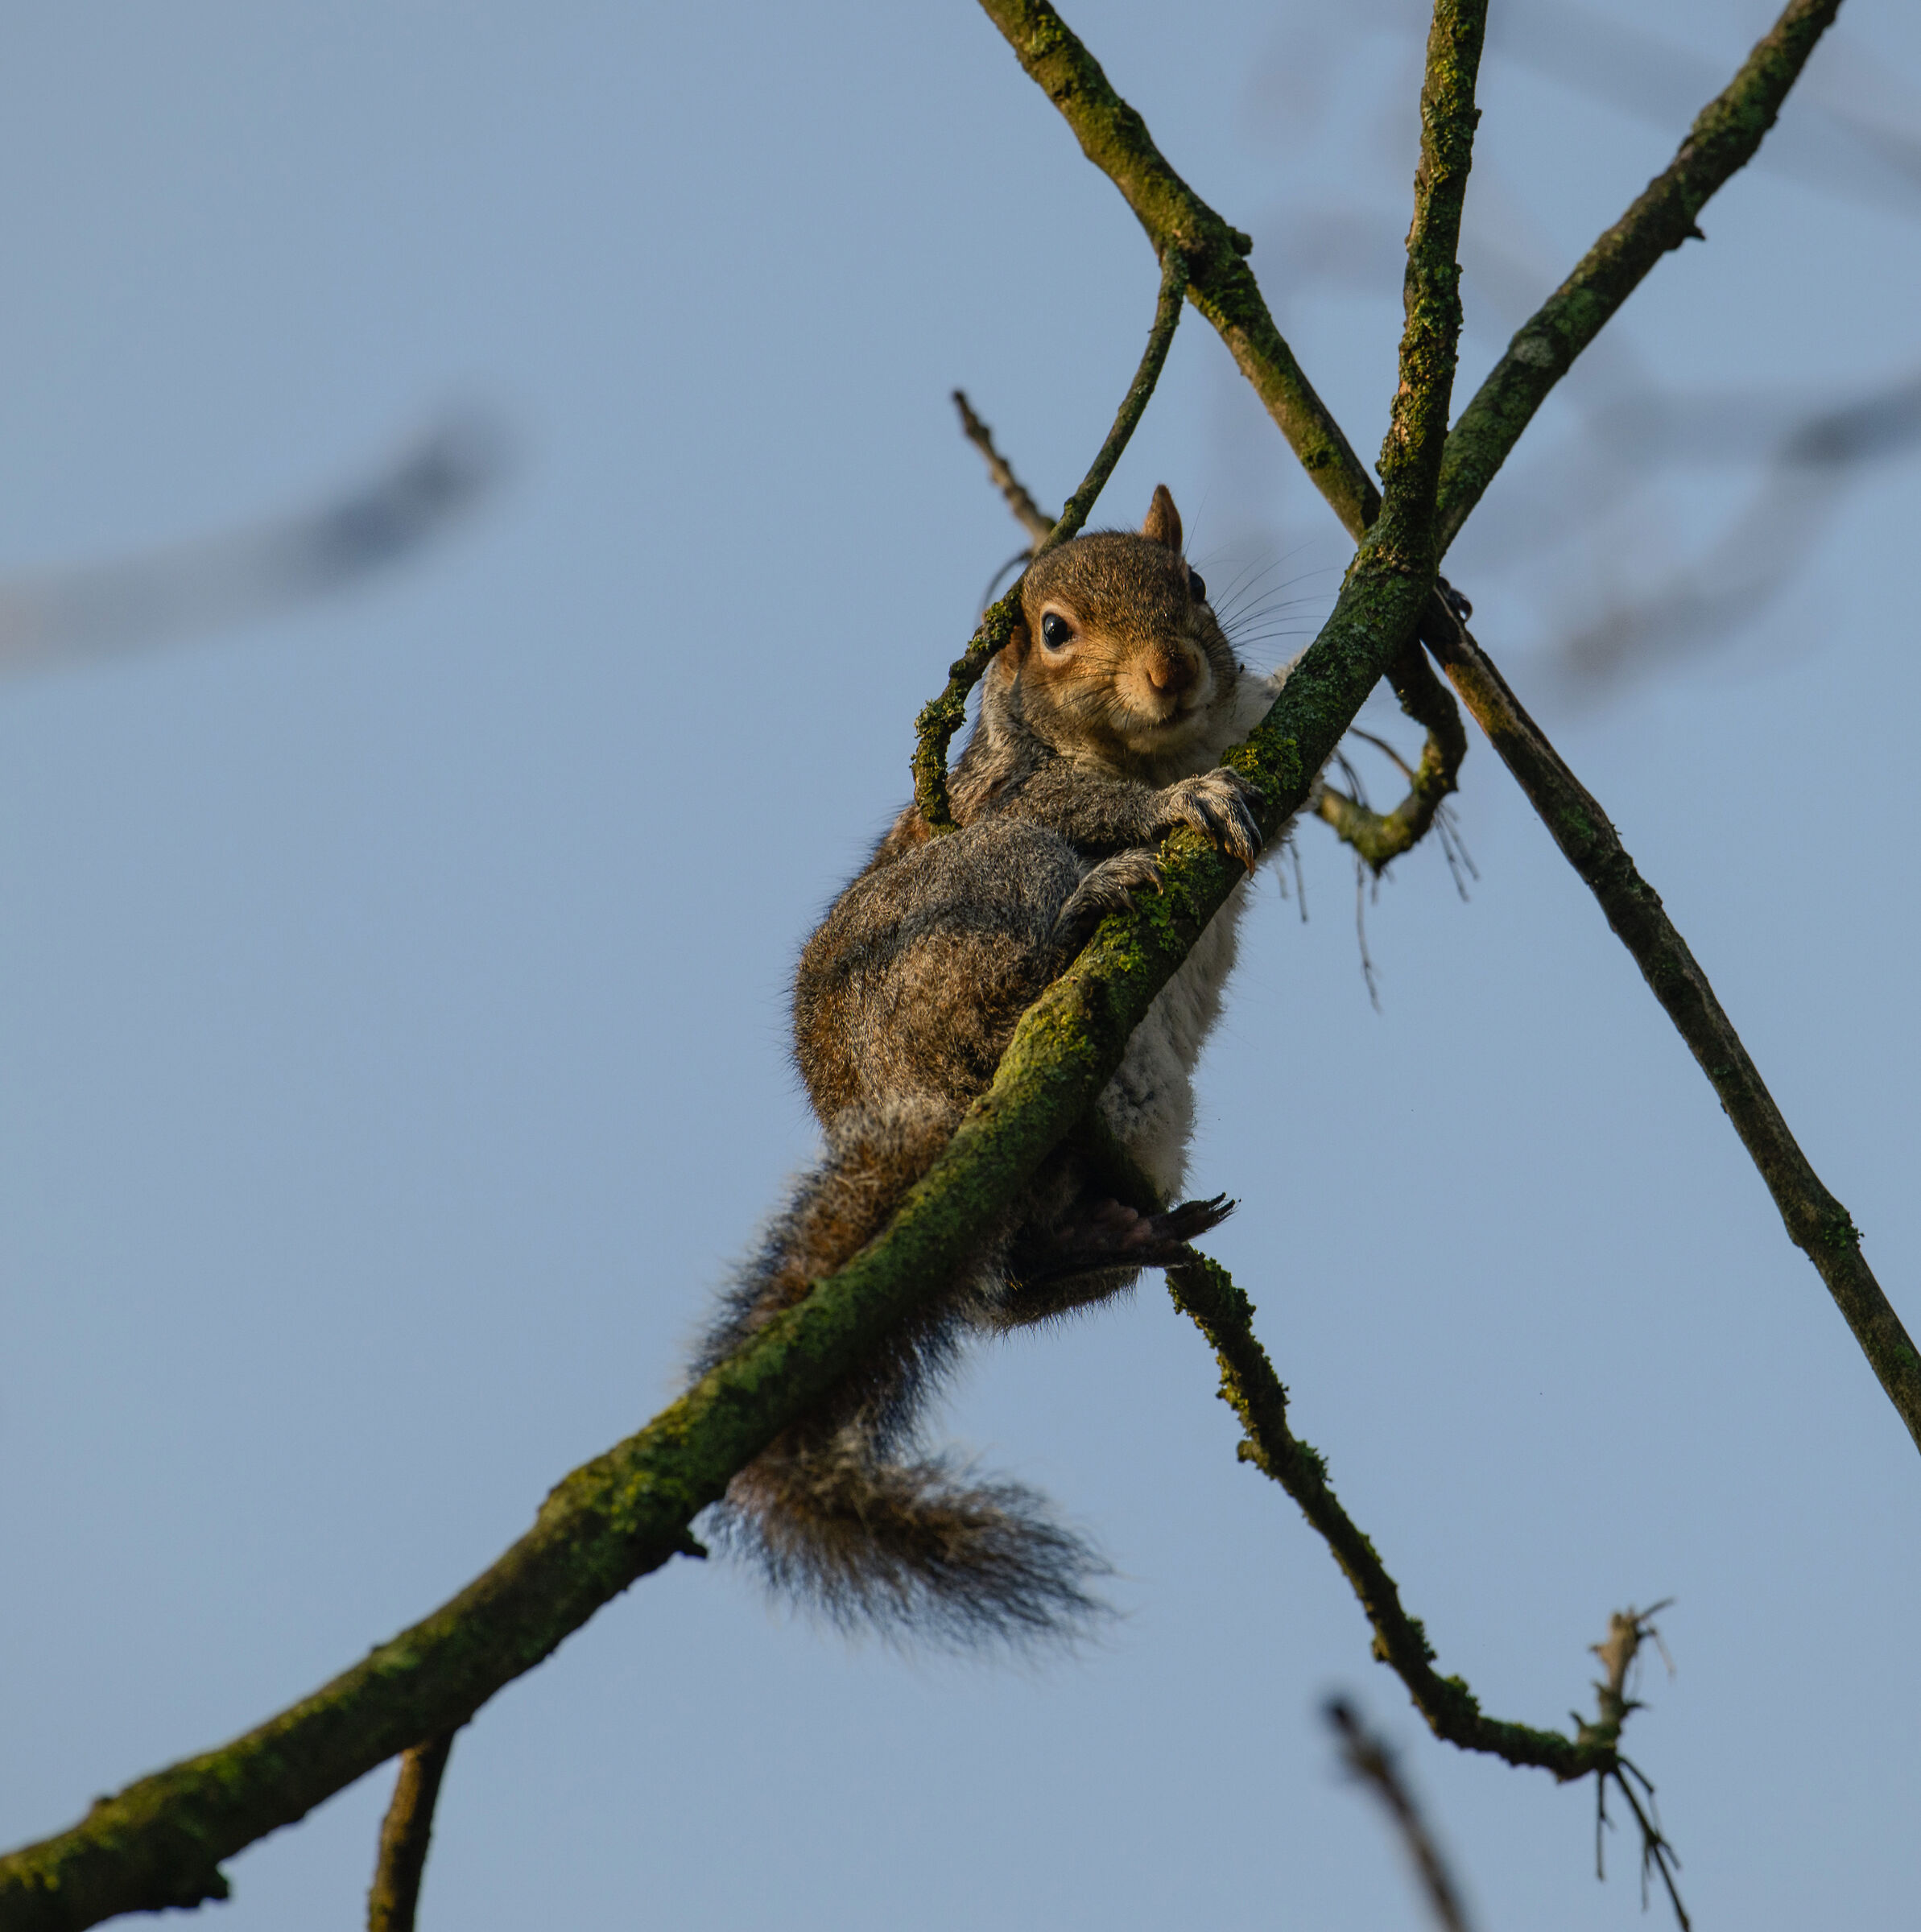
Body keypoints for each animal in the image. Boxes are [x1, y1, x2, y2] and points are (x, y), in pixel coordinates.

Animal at [692, 485, 1291, 1647]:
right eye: (1053, 631)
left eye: (1193, 585)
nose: (1171, 671)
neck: (1145, 750)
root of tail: (919, 1109)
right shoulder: (1002, 799)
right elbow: (1085, 806)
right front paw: (1177, 808)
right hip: (973, 906)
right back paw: (1083, 919)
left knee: (1022, 1264)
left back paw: (1118, 1231)